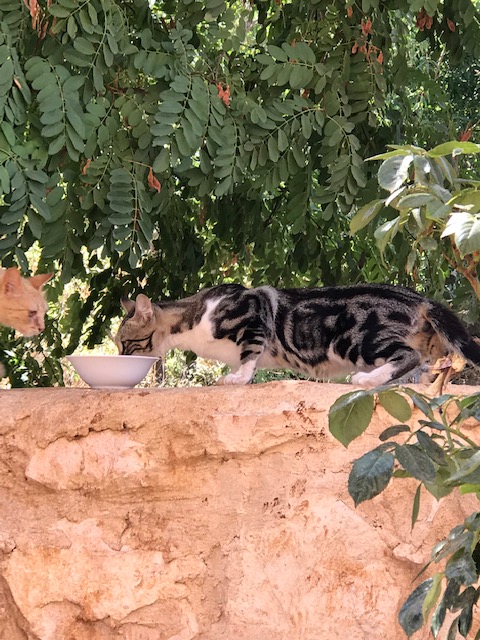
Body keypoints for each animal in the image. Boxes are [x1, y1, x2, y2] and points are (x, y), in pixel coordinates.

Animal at [115, 283, 480, 388]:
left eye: (125, 344)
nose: (118, 357)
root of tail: (420, 298)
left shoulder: (253, 316)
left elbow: (249, 356)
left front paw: (237, 378)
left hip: (356, 339)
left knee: (407, 356)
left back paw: (366, 379)